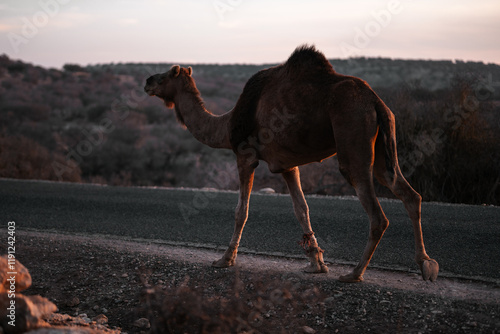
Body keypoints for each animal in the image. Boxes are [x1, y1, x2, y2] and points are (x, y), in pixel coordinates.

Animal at [144, 45, 438, 282]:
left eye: (168, 74)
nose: (147, 81)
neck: (226, 125)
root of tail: (376, 102)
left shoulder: (245, 154)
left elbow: (242, 211)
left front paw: (225, 259)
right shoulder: (287, 166)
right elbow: (302, 209)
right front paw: (317, 264)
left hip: (354, 135)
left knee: (377, 214)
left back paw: (354, 274)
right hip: (382, 144)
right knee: (409, 194)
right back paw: (426, 265)